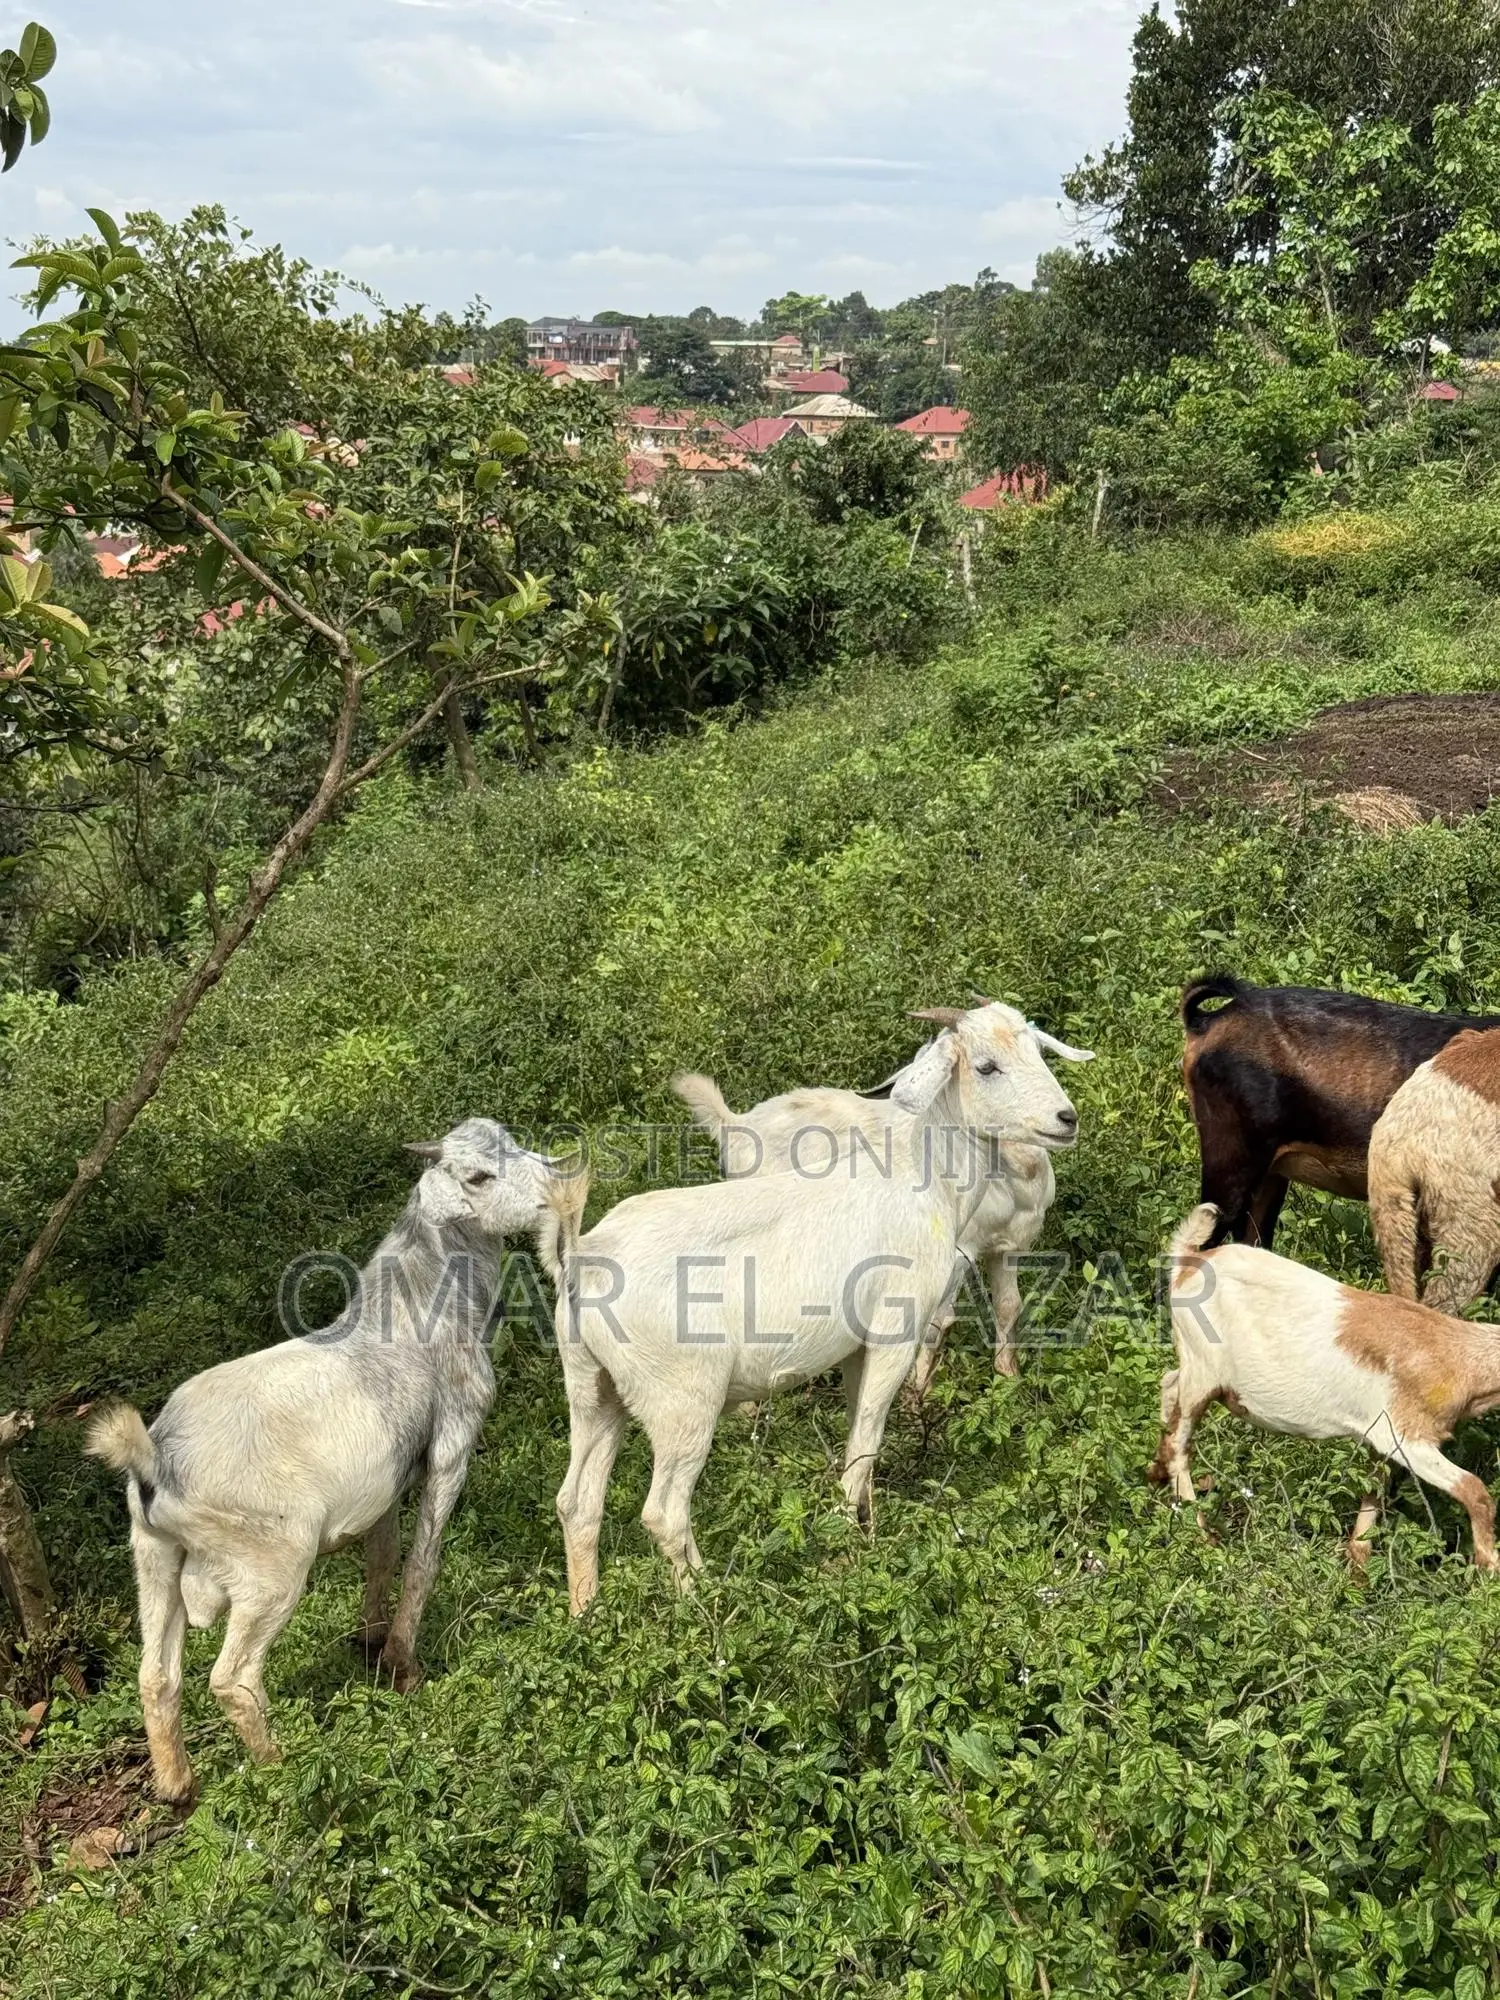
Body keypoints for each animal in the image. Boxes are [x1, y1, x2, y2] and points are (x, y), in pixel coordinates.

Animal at [88, 1119, 585, 1803]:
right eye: (477, 1176)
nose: (558, 1179)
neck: (421, 1300)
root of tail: (153, 1460)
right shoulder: (452, 1444)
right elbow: (422, 1561)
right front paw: (404, 1666)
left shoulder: (386, 1482)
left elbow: (382, 1556)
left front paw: (372, 1643)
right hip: (269, 1567)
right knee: (231, 1678)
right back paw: (283, 1771)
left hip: (153, 1560)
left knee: (155, 1676)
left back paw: (179, 1787)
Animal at [672, 1003, 1093, 1390]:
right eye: (986, 1067)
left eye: (1040, 1053)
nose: (1066, 1118)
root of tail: (735, 1122)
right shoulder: (957, 1251)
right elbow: (939, 1320)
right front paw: (919, 1391)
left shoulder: (1009, 1246)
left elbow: (1008, 1308)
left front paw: (1008, 1380)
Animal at [1151, 1202, 1500, 1571]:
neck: (1456, 1355)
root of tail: (1189, 1260)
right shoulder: (1408, 1436)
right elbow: (1476, 1490)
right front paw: (1488, 1566)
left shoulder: (1380, 1437)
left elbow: (1373, 1491)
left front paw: (1358, 1566)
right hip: (1202, 1372)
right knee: (1179, 1441)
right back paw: (1201, 1534)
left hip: (1194, 1365)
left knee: (1169, 1385)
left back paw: (1155, 1474)